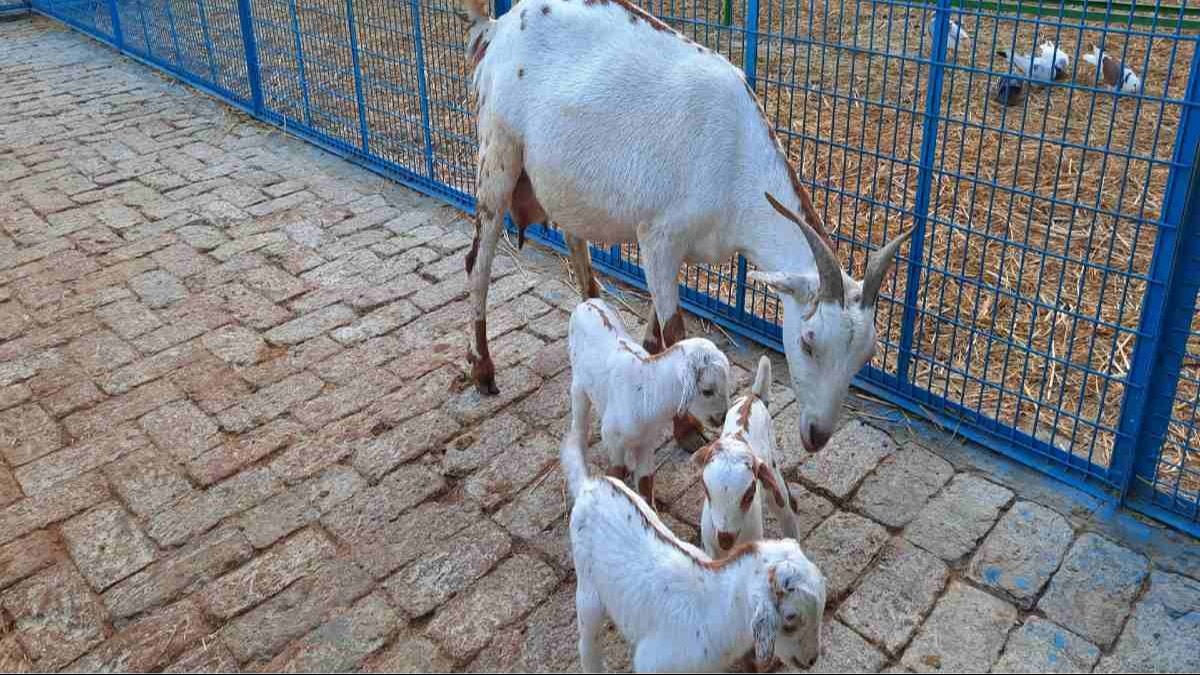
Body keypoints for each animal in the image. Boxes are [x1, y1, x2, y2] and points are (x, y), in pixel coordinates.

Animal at [458, 0, 913, 454]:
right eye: (808, 341)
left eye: (866, 356)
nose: (817, 436)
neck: (735, 162)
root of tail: (495, 30)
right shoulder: (658, 237)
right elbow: (676, 332)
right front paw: (686, 429)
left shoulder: (679, 251)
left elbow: (658, 331)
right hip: (498, 153)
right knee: (478, 261)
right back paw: (482, 370)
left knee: (576, 246)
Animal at [560, 426, 827, 673]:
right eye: (790, 620)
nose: (811, 660)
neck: (715, 606)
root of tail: (589, 485)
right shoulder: (652, 663)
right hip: (588, 589)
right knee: (587, 641)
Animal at [568, 297, 730, 505]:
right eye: (707, 391)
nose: (722, 417)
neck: (647, 390)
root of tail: (588, 302)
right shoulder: (612, 439)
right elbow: (615, 473)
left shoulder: (647, 443)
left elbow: (646, 482)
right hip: (578, 385)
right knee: (579, 425)